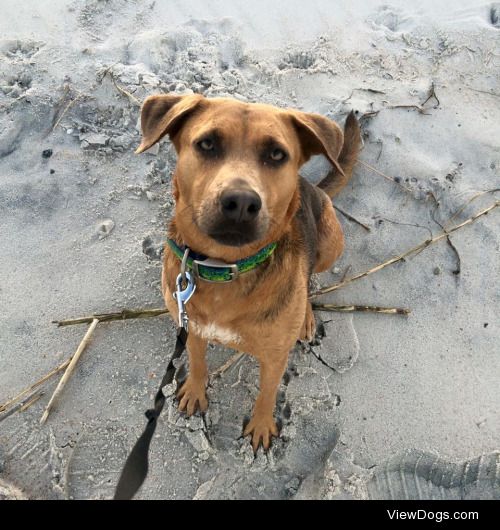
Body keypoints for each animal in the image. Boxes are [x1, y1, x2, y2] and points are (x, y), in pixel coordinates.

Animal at [136, 93, 360, 448]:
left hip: (330, 244)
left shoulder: (274, 358)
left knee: (310, 276)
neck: (223, 266)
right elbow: (197, 362)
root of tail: (315, 187)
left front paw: (261, 426)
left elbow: (267, 395)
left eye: (277, 154)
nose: (240, 203)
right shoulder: (193, 328)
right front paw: (195, 391)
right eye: (207, 144)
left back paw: (306, 317)